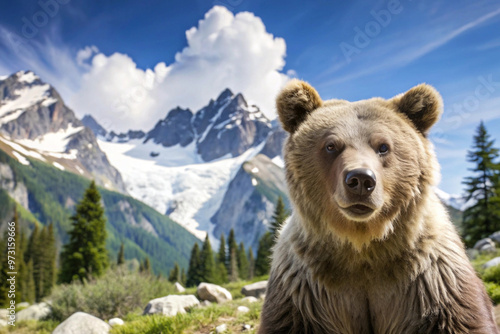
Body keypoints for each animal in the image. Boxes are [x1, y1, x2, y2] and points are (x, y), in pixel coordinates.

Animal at [260, 81, 498, 334]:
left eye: (383, 146)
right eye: (331, 145)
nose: (361, 180)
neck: (364, 243)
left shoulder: (434, 281)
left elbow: (462, 319)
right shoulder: (302, 288)